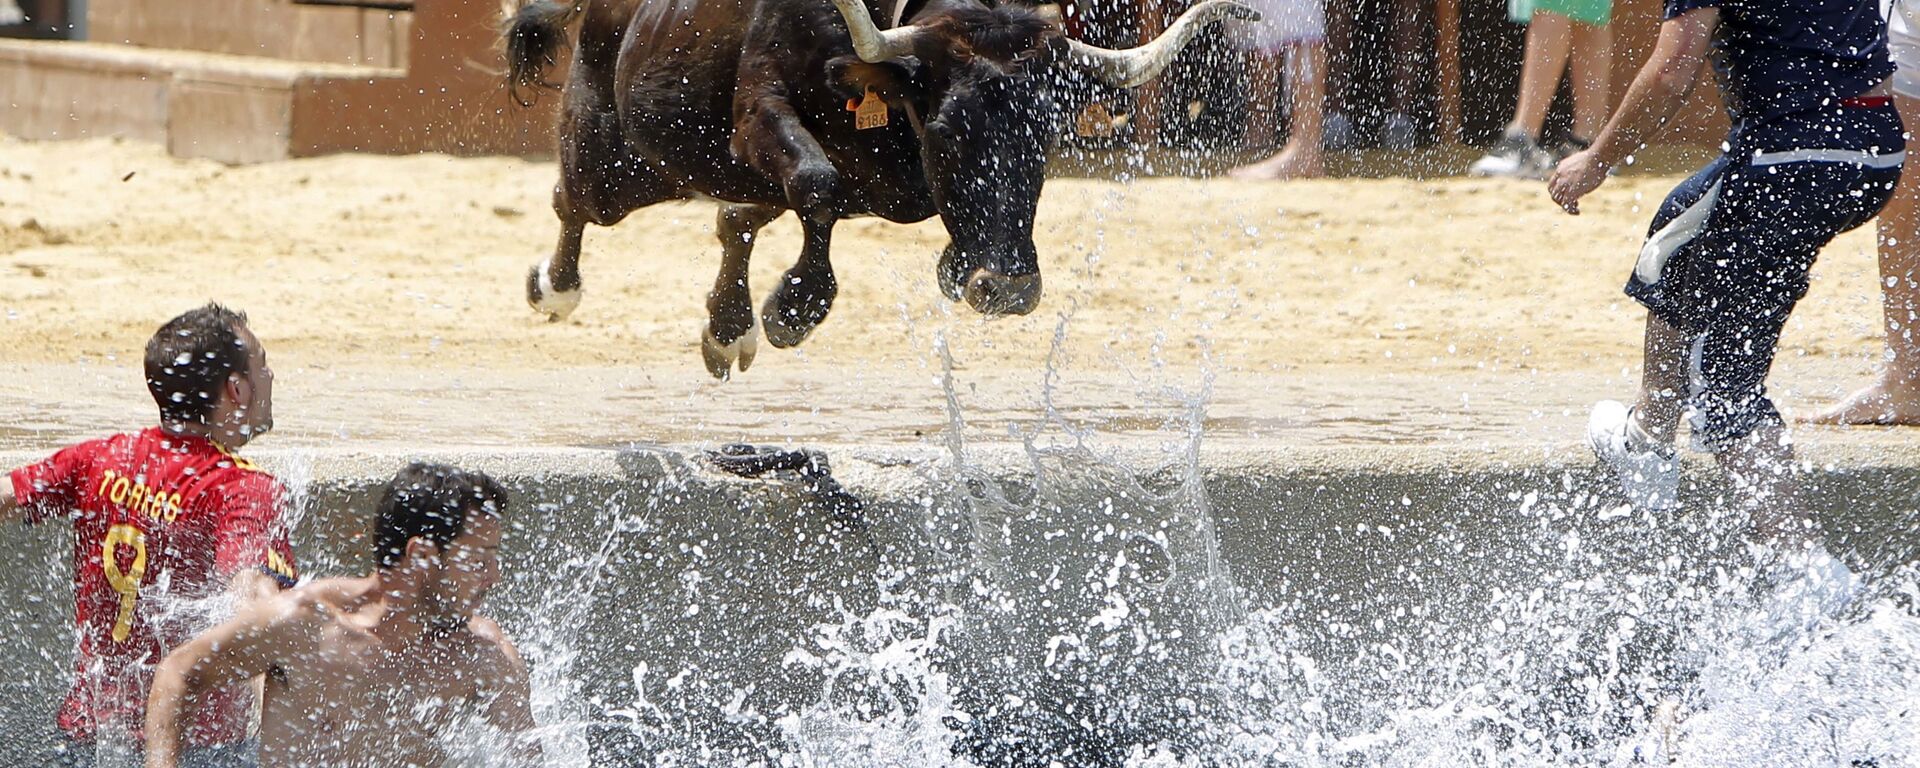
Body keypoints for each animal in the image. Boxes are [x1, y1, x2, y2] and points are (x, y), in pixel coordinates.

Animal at [503, 0, 1251, 380]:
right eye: (948, 130)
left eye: (1047, 136)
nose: (1008, 289)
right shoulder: (760, 108)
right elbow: (817, 183)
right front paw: (796, 307)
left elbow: (799, 205)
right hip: (618, 157)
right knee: (574, 202)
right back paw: (553, 286)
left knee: (734, 220)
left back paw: (726, 328)